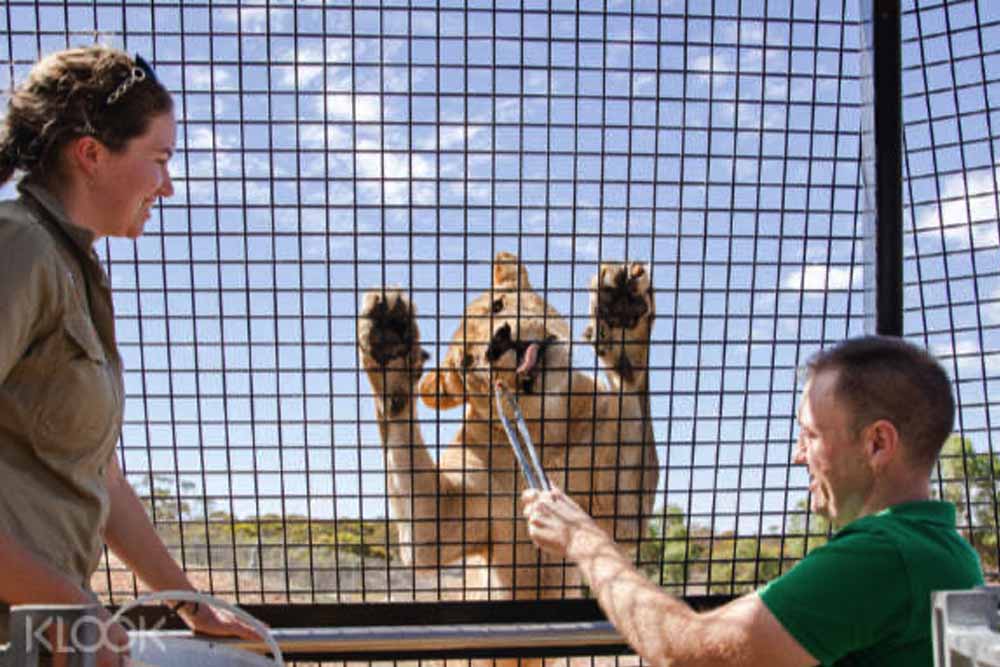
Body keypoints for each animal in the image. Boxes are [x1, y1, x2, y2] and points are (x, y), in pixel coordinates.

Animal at [357, 252, 659, 602]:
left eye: (498, 305)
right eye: (467, 362)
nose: (498, 342)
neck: (544, 429)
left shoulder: (619, 511)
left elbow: (628, 379)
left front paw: (621, 312)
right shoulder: (436, 527)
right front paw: (388, 348)